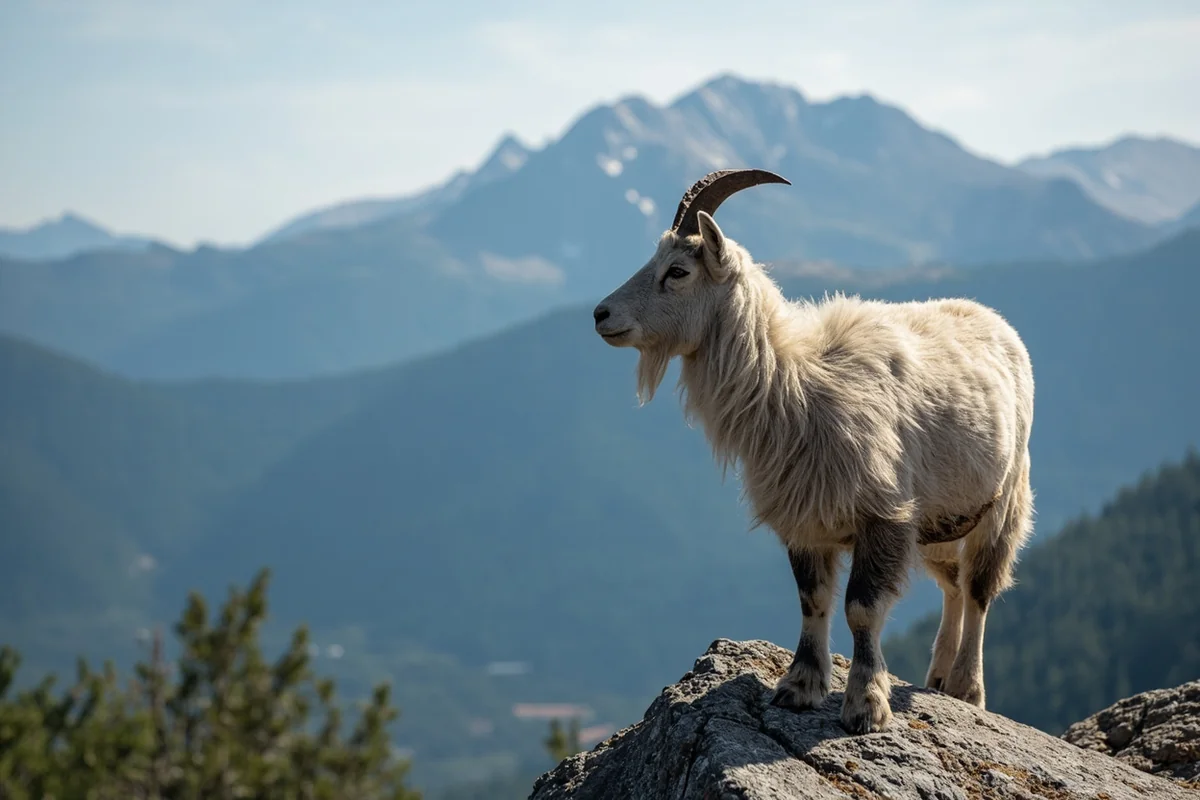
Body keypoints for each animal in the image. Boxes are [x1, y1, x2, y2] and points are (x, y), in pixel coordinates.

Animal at [592, 169, 1035, 734]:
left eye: (677, 270)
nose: (601, 314)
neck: (793, 382)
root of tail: (996, 322)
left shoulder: (884, 515)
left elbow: (861, 608)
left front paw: (865, 705)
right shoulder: (805, 517)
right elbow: (813, 600)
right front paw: (799, 688)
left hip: (1002, 500)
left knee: (979, 588)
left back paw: (966, 688)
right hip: (941, 518)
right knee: (953, 586)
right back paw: (936, 677)